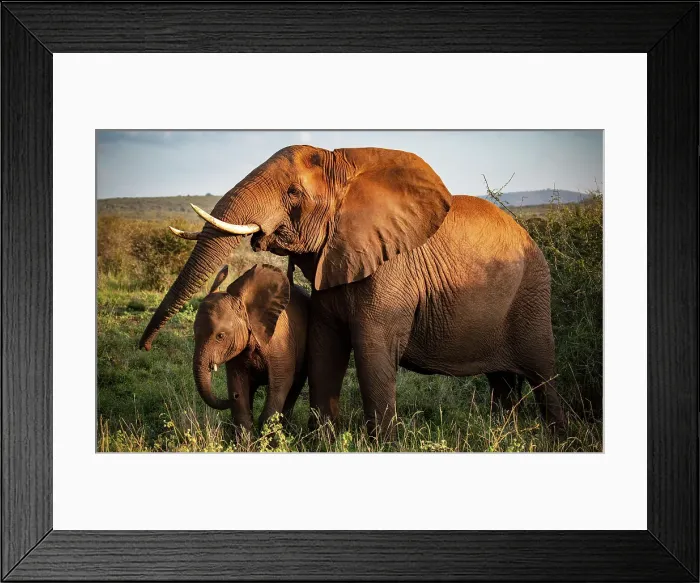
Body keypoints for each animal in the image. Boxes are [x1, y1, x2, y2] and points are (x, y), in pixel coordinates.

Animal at [192, 263, 309, 434]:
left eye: (220, 336)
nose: (231, 397)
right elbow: (238, 384)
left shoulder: (281, 343)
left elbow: (280, 384)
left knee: (295, 387)